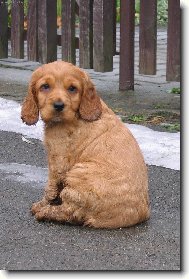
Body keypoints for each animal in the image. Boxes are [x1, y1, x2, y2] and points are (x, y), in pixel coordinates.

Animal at [21, 61, 151, 230]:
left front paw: (41, 204)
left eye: (72, 88)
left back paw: (45, 212)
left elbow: (50, 187)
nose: (59, 105)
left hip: (79, 174)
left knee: (71, 211)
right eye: (45, 86)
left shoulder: (58, 160)